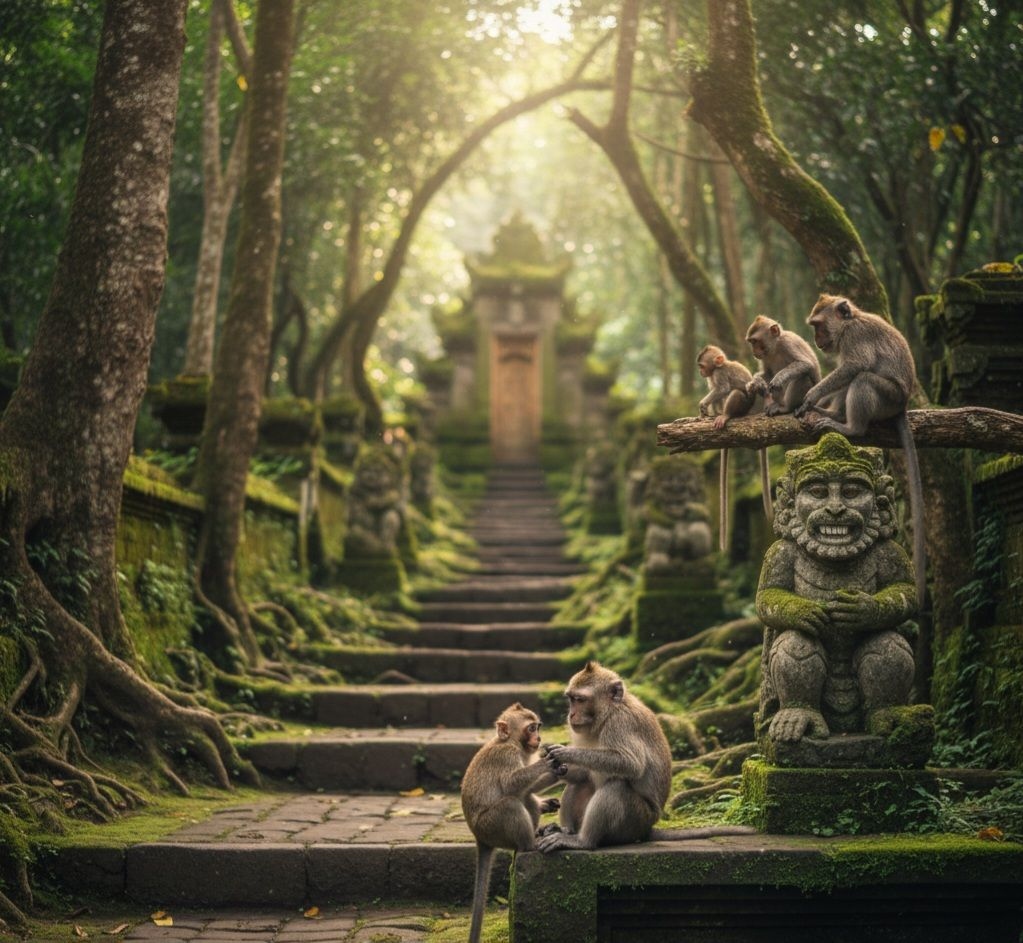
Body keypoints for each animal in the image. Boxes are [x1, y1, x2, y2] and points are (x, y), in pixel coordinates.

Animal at [461, 703, 563, 943]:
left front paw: (558, 772)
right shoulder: (507, 755)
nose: (539, 737)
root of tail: (478, 837)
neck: (512, 742)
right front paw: (547, 762)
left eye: (537, 726)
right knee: (510, 803)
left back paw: (537, 832)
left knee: (524, 797)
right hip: (491, 827)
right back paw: (529, 845)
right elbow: (510, 784)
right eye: (531, 728)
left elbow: (527, 788)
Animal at [536, 662, 754, 853]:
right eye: (571, 699)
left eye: (580, 700)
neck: (608, 713)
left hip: (635, 821)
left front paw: (565, 752)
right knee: (580, 783)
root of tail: (648, 828)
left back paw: (583, 841)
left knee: (616, 787)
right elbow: (583, 773)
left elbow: (630, 764)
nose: (571, 715)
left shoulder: (621, 723)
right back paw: (566, 830)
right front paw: (557, 764)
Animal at [697, 344, 772, 548]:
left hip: (743, 406)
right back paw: (716, 415)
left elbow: (722, 388)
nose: (701, 372)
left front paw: (703, 403)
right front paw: (705, 410)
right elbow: (715, 391)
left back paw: (726, 415)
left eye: (702, 365)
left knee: (734, 393)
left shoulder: (719, 373)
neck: (718, 367)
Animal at [794, 293, 926, 610]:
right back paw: (833, 415)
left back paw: (850, 427)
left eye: (818, 325)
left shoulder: (854, 338)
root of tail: (903, 404)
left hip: (887, 398)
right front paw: (814, 404)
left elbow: (854, 366)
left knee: (862, 379)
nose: (816, 339)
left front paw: (811, 396)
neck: (849, 323)